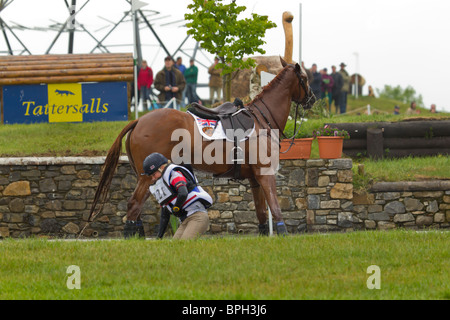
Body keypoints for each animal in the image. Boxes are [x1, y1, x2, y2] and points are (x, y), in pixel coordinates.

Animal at [88, 57, 312, 236]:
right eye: (306, 78)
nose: (312, 99)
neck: (261, 119)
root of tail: (139, 120)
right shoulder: (265, 174)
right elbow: (275, 207)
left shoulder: (254, 178)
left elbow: (261, 212)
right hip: (146, 177)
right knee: (134, 205)